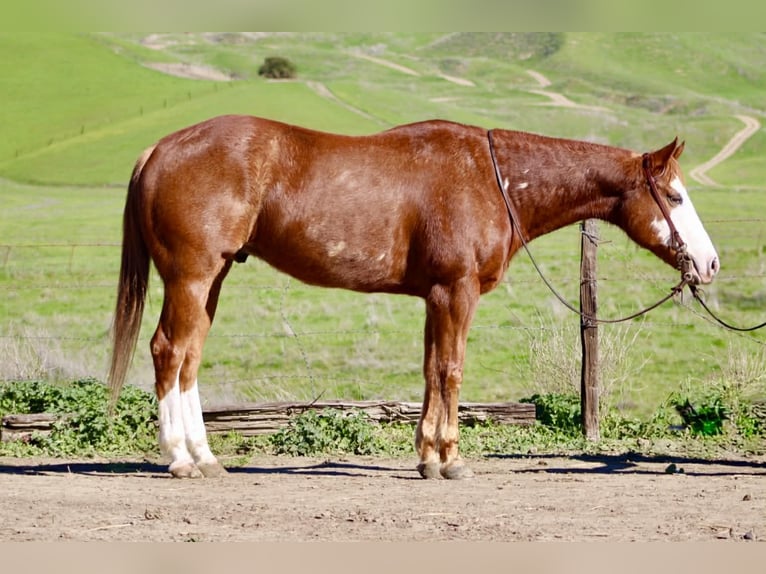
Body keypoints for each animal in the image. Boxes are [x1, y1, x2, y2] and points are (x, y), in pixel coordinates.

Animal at [108, 115, 719, 479]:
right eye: (674, 195)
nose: (710, 264)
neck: (492, 177)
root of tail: (159, 149)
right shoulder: (457, 291)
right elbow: (451, 370)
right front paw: (451, 460)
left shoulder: (434, 297)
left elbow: (430, 371)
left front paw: (426, 457)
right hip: (191, 277)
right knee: (169, 351)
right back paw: (180, 460)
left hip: (210, 281)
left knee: (189, 358)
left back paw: (205, 457)